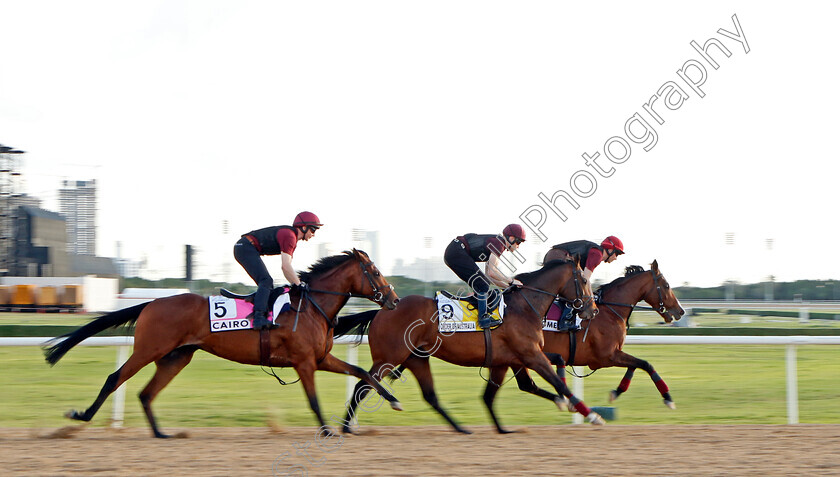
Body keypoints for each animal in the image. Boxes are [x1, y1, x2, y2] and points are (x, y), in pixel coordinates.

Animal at [42, 247, 400, 436]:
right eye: (375, 272)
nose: (394, 300)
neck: (311, 307)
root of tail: (151, 303)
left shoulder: (321, 359)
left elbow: (363, 373)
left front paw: (392, 400)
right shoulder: (304, 363)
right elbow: (313, 400)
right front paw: (327, 429)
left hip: (177, 356)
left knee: (146, 393)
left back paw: (160, 433)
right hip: (150, 349)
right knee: (115, 378)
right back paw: (81, 416)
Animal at [338, 258, 608, 434]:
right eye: (584, 279)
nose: (593, 310)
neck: (525, 306)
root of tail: (381, 310)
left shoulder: (514, 358)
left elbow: (546, 371)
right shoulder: (530, 354)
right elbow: (555, 382)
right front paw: (592, 415)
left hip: (416, 357)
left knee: (429, 395)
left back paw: (460, 428)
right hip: (389, 358)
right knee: (362, 385)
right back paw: (346, 427)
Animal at [482, 260, 684, 432]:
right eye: (667, 285)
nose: (680, 311)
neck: (610, 311)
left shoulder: (611, 355)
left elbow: (636, 365)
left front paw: (616, 392)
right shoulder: (606, 357)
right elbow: (645, 364)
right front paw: (668, 399)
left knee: (522, 385)